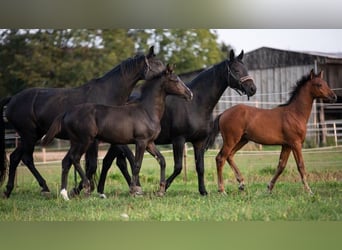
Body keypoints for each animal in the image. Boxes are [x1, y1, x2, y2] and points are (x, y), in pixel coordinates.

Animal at [0, 46, 166, 198]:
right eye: (157, 63)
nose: (168, 71)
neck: (107, 92)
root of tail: (12, 99)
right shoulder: (97, 140)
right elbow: (94, 165)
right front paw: (82, 189)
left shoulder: (115, 137)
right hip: (29, 136)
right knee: (26, 158)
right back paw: (44, 188)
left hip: (31, 136)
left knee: (15, 158)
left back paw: (9, 190)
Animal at [41, 64, 192, 199]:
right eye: (175, 80)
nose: (189, 94)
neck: (147, 111)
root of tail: (67, 112)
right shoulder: (141, 142)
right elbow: (137, 165)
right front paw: (134, 191)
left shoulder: (150, 143)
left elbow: (162, 160)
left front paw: (160, 191)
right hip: (85, 141)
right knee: (75, 158)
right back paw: (86, 187)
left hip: (75, 141)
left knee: (67, 161)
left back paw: (64, 194)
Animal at [96, 49, 256, 196]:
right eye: (236, 70)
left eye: (246, 69)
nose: (252, 89)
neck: (195, 104)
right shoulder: (178, 140)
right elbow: (178, 167)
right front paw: (163, 187)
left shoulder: (199, 141)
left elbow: (200, 167)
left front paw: (203, 191)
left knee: (111, 162)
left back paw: (103, 190)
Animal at [206, 69, 336, 194]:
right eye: (319, 84)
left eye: (326, 83)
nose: (333, 96)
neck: (294, 113)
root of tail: (223, 114)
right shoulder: (296, 143)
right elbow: (301, 166)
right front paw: (309, 190)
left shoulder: (287, 145)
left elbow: (281, 166)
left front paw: (269, 188)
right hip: (231, 140)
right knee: (220, 158)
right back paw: (222, 190)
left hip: (242, 140)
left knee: (230, 156)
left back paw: (241, 183)